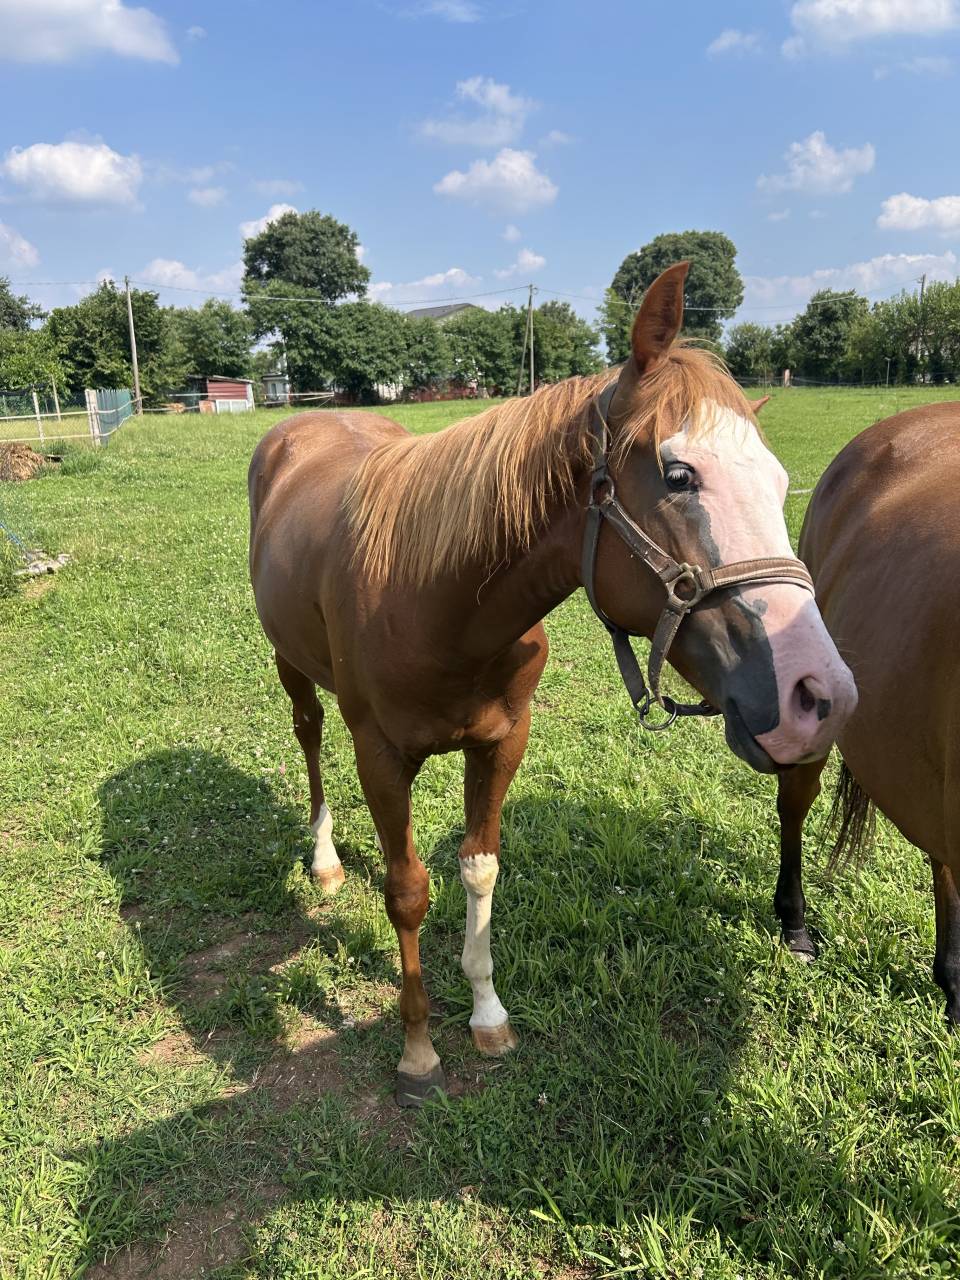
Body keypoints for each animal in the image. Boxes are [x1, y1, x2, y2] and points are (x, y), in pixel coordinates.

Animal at [248, 263, 857, 1105]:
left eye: (779, 481)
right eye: (679, 476)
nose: (820, 696)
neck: (438, 599)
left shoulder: (503, 741)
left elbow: (479, 869)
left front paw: (487, 1016)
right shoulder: (381, 757)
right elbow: (407, 892)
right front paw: (418, 1051)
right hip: (291, 665)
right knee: (307, 737)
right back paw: (325, 859)